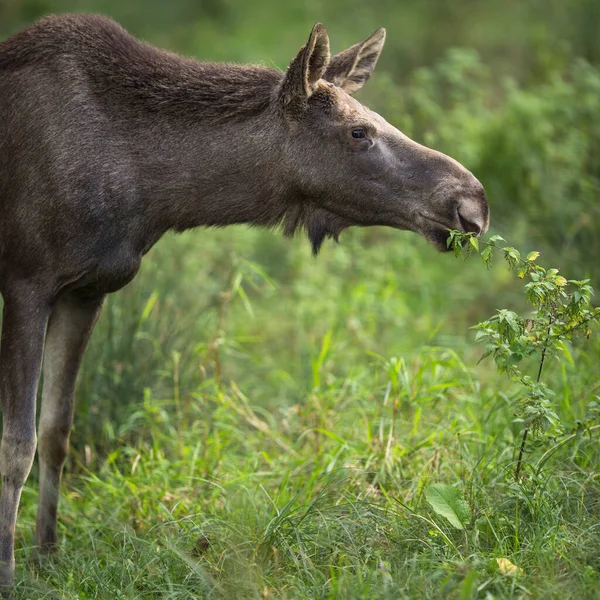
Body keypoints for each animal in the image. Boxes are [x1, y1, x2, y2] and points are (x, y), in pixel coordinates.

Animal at [0, 12, 488, 584]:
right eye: (358, 131)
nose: (472, 201)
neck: (154, 196)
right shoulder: (26, 281)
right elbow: (17, 446)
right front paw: (10, 571)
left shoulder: (87, 289)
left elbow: (57, 431)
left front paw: (48, 556)